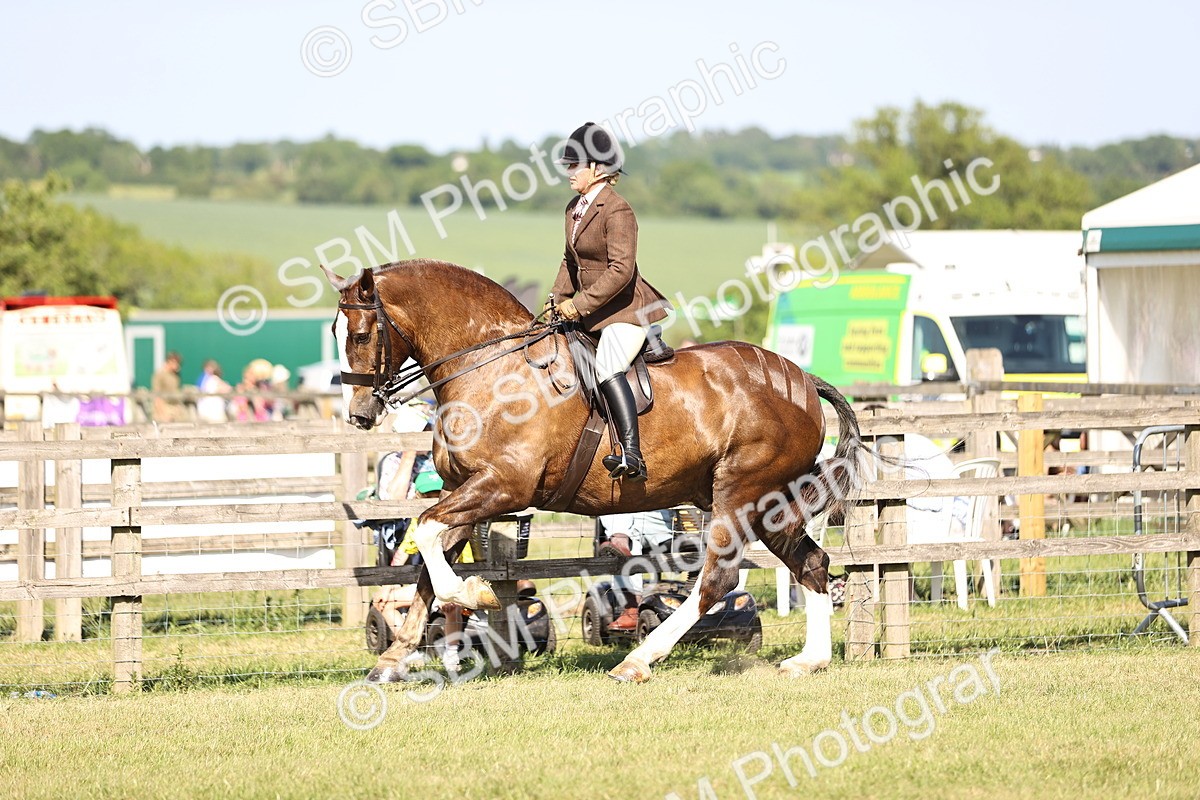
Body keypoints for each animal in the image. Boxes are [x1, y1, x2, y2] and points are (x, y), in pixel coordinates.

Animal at [324, 259, 867, 683]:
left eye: (361, 334)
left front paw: (476, 593)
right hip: (772, 504)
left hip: (739, 493)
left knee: (716, 578)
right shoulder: (463, 488)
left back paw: (638, 661)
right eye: (335, 334)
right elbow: (427, 563)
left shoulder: (502, 486)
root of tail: (802, 378)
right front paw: (393, 659)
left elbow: (426, 533)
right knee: (812, 564)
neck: (491, 368)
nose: (359, 415)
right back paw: (810, 660)